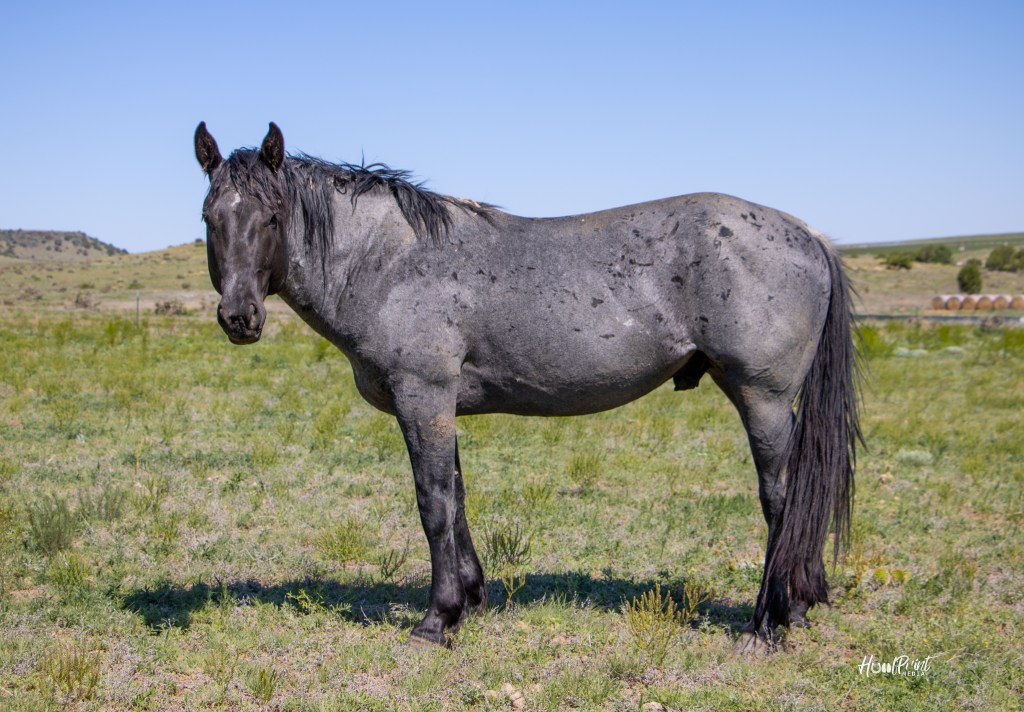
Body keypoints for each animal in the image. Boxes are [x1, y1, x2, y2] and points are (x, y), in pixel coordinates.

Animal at [193, 121, 860, 652]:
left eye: (272, 215)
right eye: (210, 218)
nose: (239, 317)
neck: (389, 262)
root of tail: (809, 234)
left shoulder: (423, 398)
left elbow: (433, 503)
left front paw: (436, 620)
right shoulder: (441, 406)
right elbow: (457, 498)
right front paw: (469, 599)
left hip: (762, 398)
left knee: (781, 501)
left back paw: (766, 624)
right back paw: (797, 607)